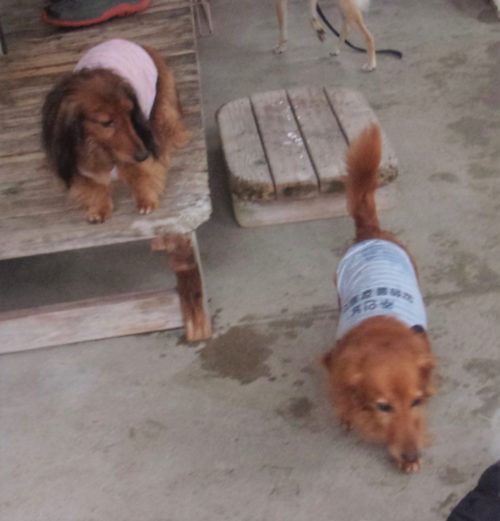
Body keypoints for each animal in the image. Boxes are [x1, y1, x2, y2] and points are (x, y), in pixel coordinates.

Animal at [42, 39, 189, 223]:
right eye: (107, 123)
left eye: (129, 112)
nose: (143, 155)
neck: (99, 147)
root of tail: (133, 43)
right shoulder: (78, 162)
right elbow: (92, 186)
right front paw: (99, 207)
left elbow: (142, 172)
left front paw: (145, 199)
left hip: (162, 110)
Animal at [322, 125, 435, 473]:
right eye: (383, 406)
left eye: (416, 401)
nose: (411, 455)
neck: (381, 329)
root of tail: (371, 234)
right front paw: (347, 414)